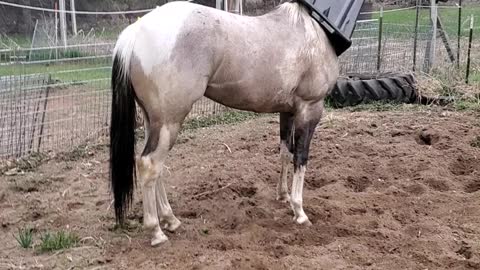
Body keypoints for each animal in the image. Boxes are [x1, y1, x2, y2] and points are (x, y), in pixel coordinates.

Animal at [110, 0, 340, 246]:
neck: (313, 30)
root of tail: (135, 32)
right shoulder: (310, 109)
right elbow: (301, 158)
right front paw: (299, 212)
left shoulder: (287, 112)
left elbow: (285, 154)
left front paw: (283, 196)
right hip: (168, 122)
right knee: (149, 164)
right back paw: (156, 232)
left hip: (153, 122)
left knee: (156, 167)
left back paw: (170, 220)